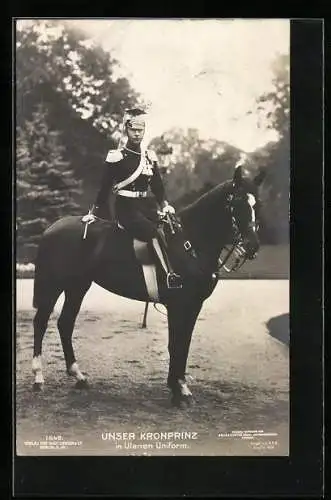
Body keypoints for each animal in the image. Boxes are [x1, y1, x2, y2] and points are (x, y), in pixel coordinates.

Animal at [30, 164, 264, 406]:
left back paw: (78, 376)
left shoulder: (193, 305)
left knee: (65, 323)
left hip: (77, 287)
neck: (190, 242)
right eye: (236, 203)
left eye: (257, 203)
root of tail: (51, 229)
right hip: (53, 285)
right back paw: (38, 377)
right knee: (40, 322)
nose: (252, 245)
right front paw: (179, 390)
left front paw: (179, 386)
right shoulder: (178, 305)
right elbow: (176, 344)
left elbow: (184, 343)